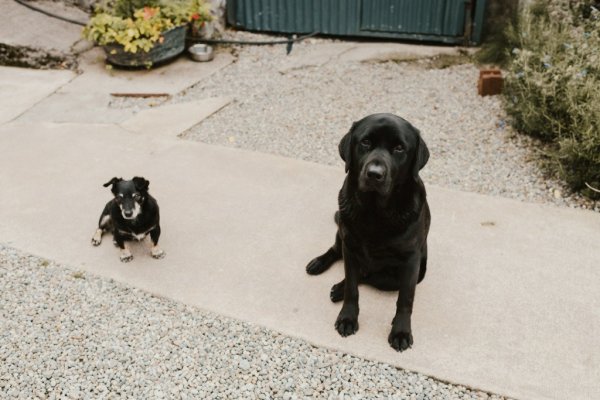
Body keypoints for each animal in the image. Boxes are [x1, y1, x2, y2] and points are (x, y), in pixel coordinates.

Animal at [308, 111, 428, 350]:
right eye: (365, 142)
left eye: (399, 148)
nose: (374, 174)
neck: (376, 212)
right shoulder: (350, 246)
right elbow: (352, 289)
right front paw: (347, 318)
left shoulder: (411, 262)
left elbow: (405, 299)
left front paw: (401, 331)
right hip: (342, 234)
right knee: (338, 253)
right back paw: (319, 264)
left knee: (368, 274)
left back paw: (338, 288)